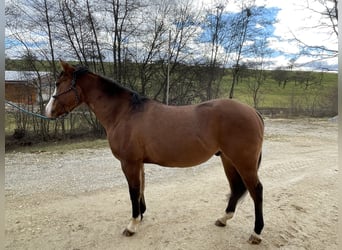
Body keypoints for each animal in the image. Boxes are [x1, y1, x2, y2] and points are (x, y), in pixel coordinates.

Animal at [45, 61, 264, 244]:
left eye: (58, 83)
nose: (48, 111)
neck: (124, 113)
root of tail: (253, 112)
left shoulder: (129, 163)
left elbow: (133, 191)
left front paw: (132, 225)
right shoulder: (138, 163)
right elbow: (141, 188)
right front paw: (141, 216)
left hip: (243, 162)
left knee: (256, 191)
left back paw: (256, 233)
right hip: (228, 160)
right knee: (236, 188)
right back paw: (223, 219)